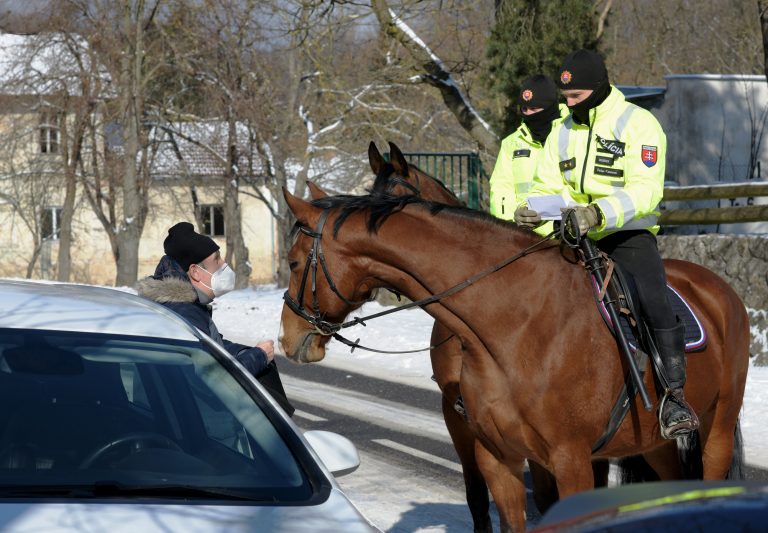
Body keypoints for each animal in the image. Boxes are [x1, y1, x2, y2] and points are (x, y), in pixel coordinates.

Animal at [278, 184, 752, 532]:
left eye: (295, 262)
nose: (288, 337)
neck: (514, 323)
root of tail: (720, 289)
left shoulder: (571, 461)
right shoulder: (498, 457)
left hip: (718, 425)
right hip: (653, 443)